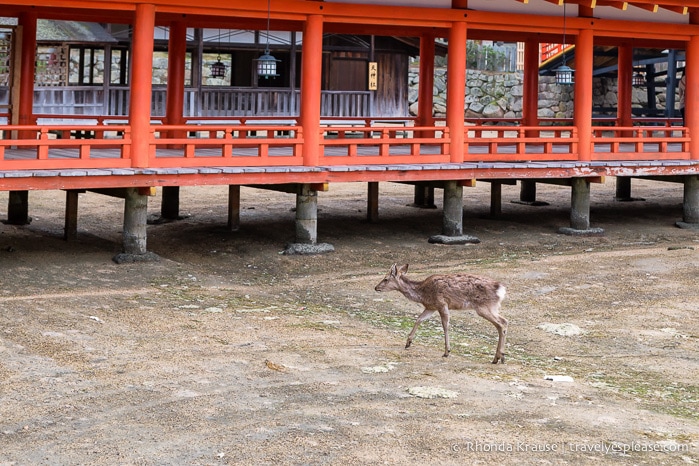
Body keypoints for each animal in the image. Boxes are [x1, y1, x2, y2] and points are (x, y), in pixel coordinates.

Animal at [378, 264, 508, 362]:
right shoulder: (431, 307)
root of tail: (501, 289)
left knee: (501, 323)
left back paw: (497, 357)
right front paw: (408, 342)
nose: (376, 287)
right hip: (492, 307)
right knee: (505, 321)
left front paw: (446, 352)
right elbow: (419, 319)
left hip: (484, 307)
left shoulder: (441, 304)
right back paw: (501, 357)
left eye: (385, 278)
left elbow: (445, 326)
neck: (423, 293)